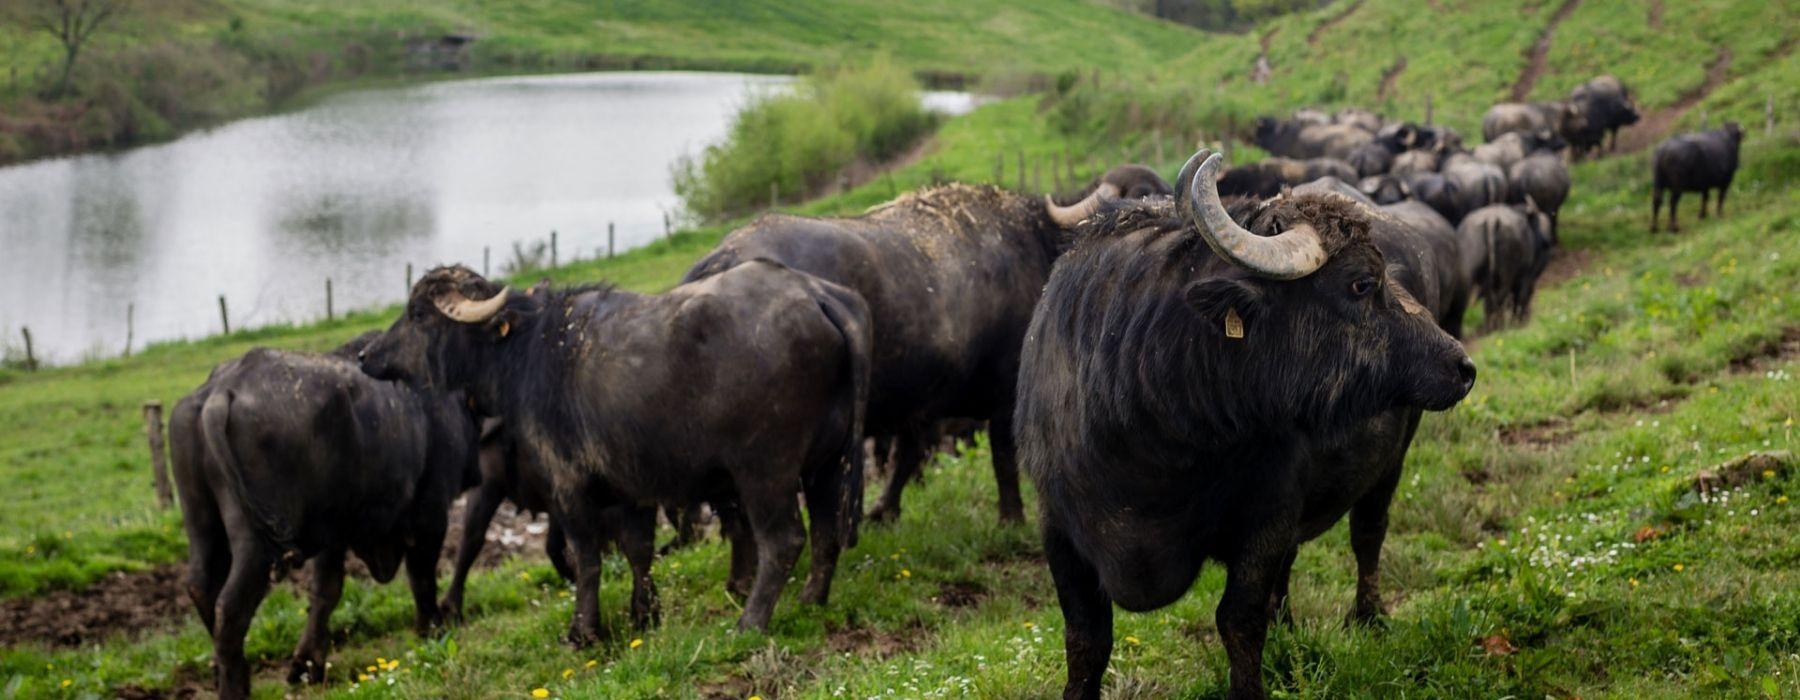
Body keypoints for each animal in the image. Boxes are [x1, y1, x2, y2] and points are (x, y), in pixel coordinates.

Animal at [169, 332, 475, 698]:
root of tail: (221, 390)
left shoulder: (334, 534)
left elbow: (326, 590)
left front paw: (308, 664)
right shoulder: (430, 512)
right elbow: (422, 576)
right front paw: (432, 630)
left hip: (200, 519)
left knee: (201, 587)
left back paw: (231, 672)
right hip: (255, 543)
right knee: (229, 607)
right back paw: (235, 687)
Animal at [360, 260, 871, 633]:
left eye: (418, 315)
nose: (367, 355)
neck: (528, 354)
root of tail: (817, 295)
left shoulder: (569, 484)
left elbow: (586, 557)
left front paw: (583, 631)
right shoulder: (630, 486)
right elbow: (638, 550)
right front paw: (645, 615)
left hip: (765, 471)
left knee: (783, 540)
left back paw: (750, 622)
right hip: (830, 464)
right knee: (826, 531)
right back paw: (811, 600)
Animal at [676, 167, 1166, 525]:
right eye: (1134, 205)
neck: (1036, 246)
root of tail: (721, 259)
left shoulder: (921, 400)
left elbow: (908, 457)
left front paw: (884, 510)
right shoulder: (1001, 391)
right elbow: (1002, 458)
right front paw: (1011, 517)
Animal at [1029, 151, 1476, 698]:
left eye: (1381, 275)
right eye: (1361, 283)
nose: (1462, 365)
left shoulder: (1266, 513)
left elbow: (1238, 619)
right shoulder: (1058, 529)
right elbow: (1086, 639)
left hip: (1395, 452)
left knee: (1368, 533)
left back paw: (1368, 617)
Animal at [1454, 197, 1555, 325]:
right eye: (1535, 223)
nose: (1546, 242)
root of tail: (1491, 219)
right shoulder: (1526, 275)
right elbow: (1521, 296)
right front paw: (1518, 320)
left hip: (1473, 272)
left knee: (1487, 300)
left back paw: (1491, 324)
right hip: (1507, 274)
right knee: (1502, 297)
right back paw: (1500, 323)